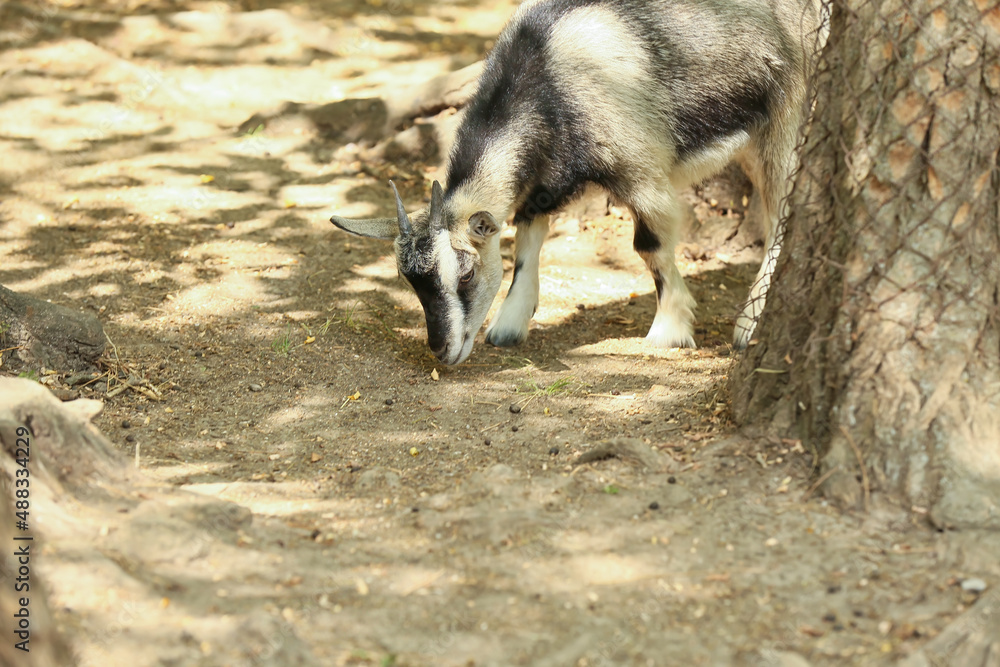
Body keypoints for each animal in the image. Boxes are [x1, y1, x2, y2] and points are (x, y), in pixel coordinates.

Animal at [332, 0, 824, 366]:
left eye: (466, 273)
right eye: (407, 279)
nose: (441, 350)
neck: (545, 74)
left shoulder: (641, 168)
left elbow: (650, 246)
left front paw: (669, 330)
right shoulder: (543, 180)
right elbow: (526, 240)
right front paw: (510, 324)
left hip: (789, 111)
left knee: (784, 208)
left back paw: (750, 324)